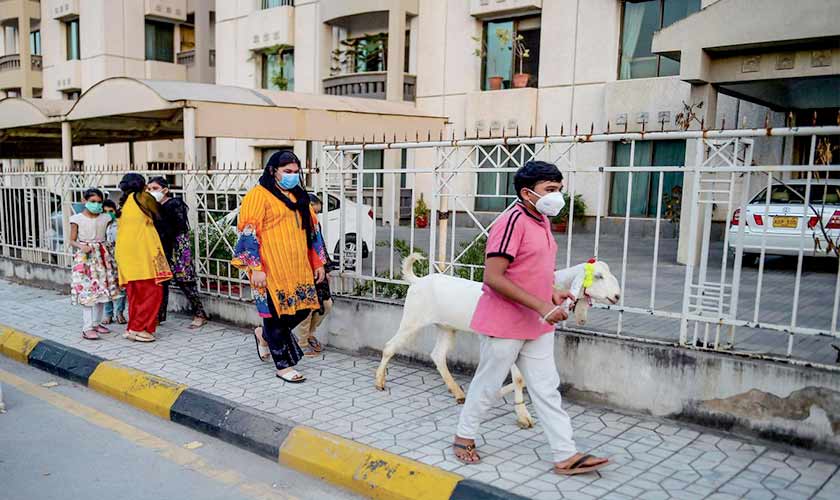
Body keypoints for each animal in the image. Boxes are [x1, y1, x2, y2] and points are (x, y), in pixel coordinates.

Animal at [374, 253, 621, 428]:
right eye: (598, 276)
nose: (617, 296)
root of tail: (418, 280)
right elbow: (519, 379)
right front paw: (523, 416)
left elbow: (525, 379)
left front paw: (499, 395)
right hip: (413, 318)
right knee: (390, 346)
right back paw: (380, 381)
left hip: (446, 327)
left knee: (438, 355)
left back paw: (458, 393)